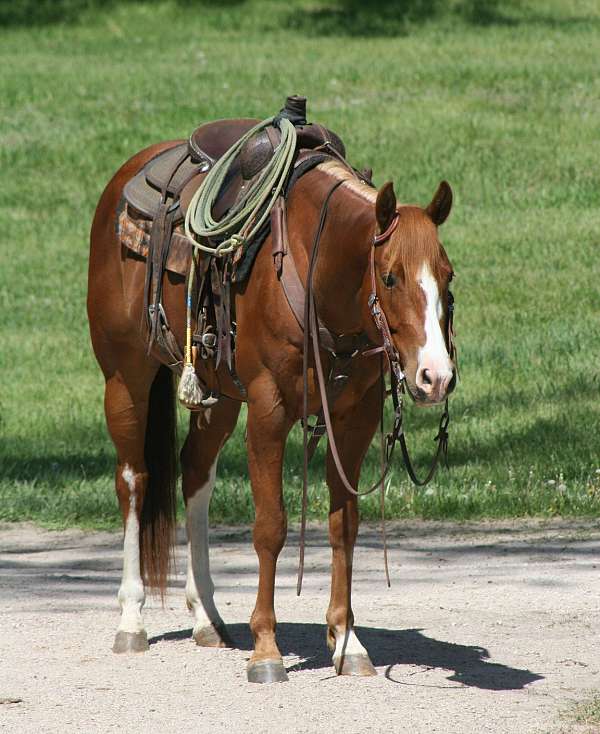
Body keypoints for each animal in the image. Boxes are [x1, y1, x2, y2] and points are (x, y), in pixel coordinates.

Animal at [88, 142, 454, 684]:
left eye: (448, 277)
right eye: (390, 277)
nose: (436, 376)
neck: (317, 273)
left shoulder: (355, 417)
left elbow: (344, 526)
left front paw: (348, 641)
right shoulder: (268, 411)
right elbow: (270, 527)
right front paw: (266, 649)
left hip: (218, 395)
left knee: (195, 473)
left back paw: (207, 617)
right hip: (125, 376)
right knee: (134, 479)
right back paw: (131, 619)